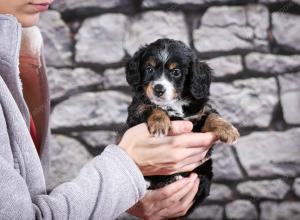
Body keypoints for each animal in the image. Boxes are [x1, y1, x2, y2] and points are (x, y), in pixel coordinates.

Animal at [124, 38, 239, 214]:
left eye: (176, 72)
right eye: (149, 69)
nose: (158, 89)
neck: (174, 105)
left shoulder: (197, 118)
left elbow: (212, 116)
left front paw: (228, 130)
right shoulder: (135, 112)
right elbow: (151, 107)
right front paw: (159, 122)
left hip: (204, 171)